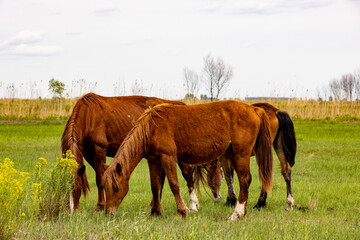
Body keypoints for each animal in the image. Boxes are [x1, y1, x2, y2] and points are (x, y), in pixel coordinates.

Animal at [62, 93, 200, 211]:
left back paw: (193, 205)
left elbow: (99, 177)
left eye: (78, 187)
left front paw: (99, 206)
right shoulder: (88, 153)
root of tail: (177, 104)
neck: (88, 114)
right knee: (162, 177)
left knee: (187, 173)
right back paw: (153, 205)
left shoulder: (99, 148)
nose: (70, 210)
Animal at [101, 100, 272, 220]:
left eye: (116, 187)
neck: (151, 127)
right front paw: (156, 212)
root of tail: (254, 109)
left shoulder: (168, 157)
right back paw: (242, 212)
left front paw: (182, 212)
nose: (109, 213)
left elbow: (174, 185)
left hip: (241, 154)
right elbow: (155, 186)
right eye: (105, 188)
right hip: (232, 154)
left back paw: (236, 214)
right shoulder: (153, 160)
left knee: (245, 180)